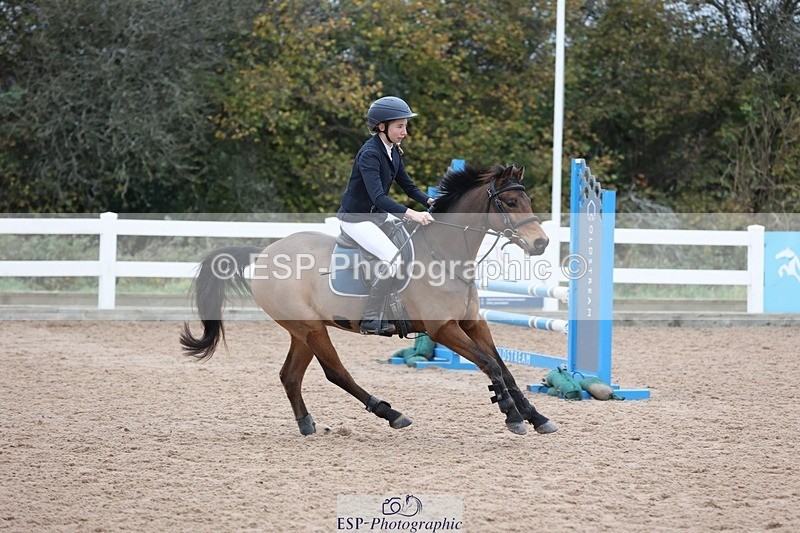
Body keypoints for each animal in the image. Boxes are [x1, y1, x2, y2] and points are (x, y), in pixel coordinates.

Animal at [180, 163, 559, 436]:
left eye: (526, 201)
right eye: (509, 202)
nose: (541, 243)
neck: (445, 254)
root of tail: (263, 253)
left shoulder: (472, 322)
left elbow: (504, 368)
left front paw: (536, 416)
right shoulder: (443, 329)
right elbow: (490, 364)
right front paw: (511, 415)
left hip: (302, 330)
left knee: (290, 375)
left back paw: (307, 424)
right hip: (311, 328)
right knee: (336, 373)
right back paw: (391, 413)